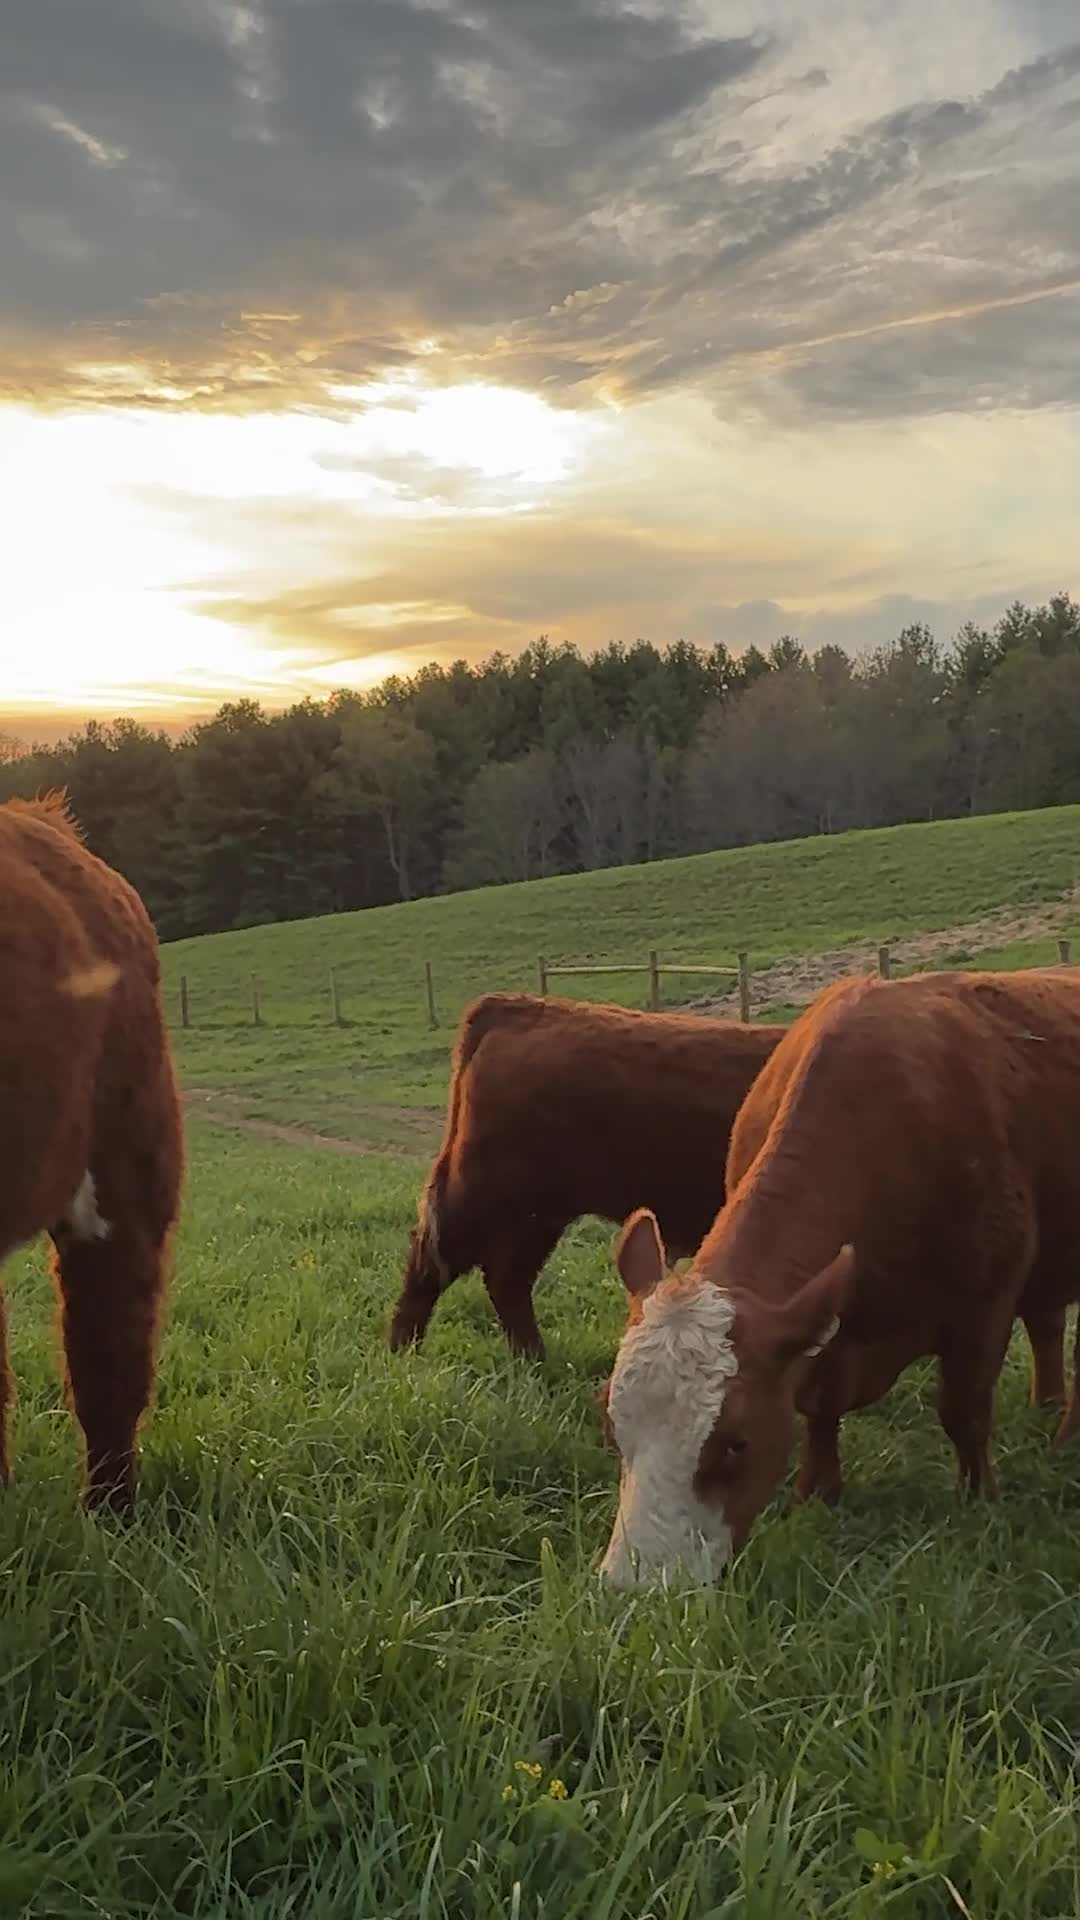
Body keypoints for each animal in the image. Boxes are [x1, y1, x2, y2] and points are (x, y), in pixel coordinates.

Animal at [388, 991, 783, 1360]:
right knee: (432, 1262)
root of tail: (512, 1007)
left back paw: (534, 1359)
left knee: (505, 1280)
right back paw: (403, 1352)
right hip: (486, 1196)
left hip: (539, 1215)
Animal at [596, 966, 1080, 1590]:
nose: (633, 1587)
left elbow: (963, 1409)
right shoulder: (822, 1315)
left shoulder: (985, 1305)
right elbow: (820, 1404)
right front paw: (817, 1490)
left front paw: (978, 1496)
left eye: (736, 1444)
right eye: (612, 1424)